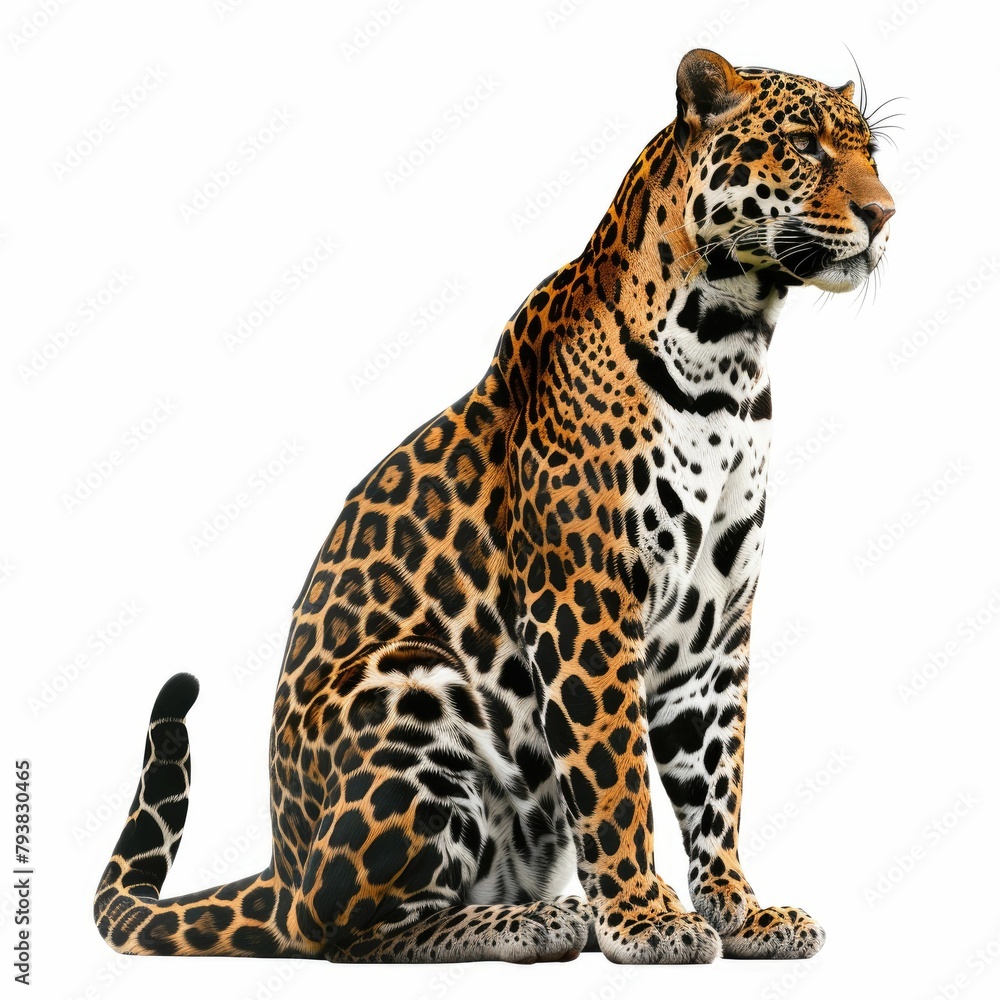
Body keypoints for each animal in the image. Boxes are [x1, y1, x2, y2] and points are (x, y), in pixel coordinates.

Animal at [94, 48, 893, 965]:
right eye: (802, 145)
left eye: (871, 152)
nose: (884, 213)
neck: (732, 350)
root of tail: (282, 866)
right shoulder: (585, 602)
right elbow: (616, 777)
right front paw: (646, 917)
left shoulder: (715, 623)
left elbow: (716, 780)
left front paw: (741, 911)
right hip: (406, 683)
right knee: (347, 934)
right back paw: (535, 923)